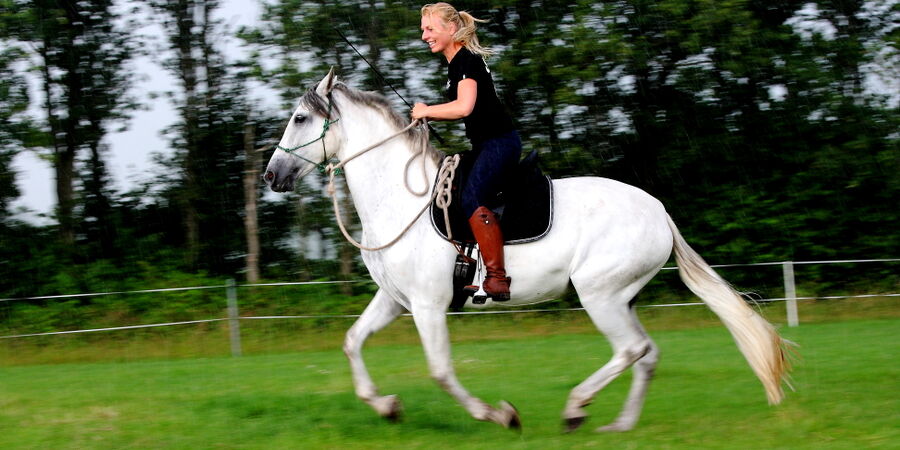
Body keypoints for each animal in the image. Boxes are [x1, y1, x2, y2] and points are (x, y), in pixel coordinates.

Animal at [264, 70, 792, 432]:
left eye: (300, 118)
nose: (272, 175)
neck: (401, 201)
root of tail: (659, 212)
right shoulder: (396, 301)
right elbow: (352, 342)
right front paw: (386, 406)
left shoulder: (428, 305)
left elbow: (440, 370)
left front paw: (500, 415)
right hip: (621, 297)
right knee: (647, 354)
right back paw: (618, 424)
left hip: (599, 294)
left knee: (632, 349)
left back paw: (576, 408)